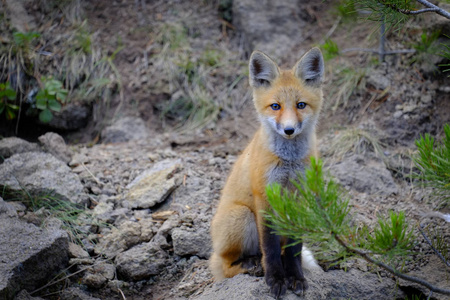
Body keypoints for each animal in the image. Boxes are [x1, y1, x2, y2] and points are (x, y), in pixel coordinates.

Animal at [209, 48, 326, 298]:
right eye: (275, 106)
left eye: (301, 105)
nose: (289, 130)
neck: (288, 161)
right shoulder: (265, 195)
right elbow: (269, 247)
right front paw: (275, 279)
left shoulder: (299, 196)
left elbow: (294, 247)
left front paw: (295, 277)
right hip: (241, 216)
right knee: (224, 266)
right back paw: (250, 265)